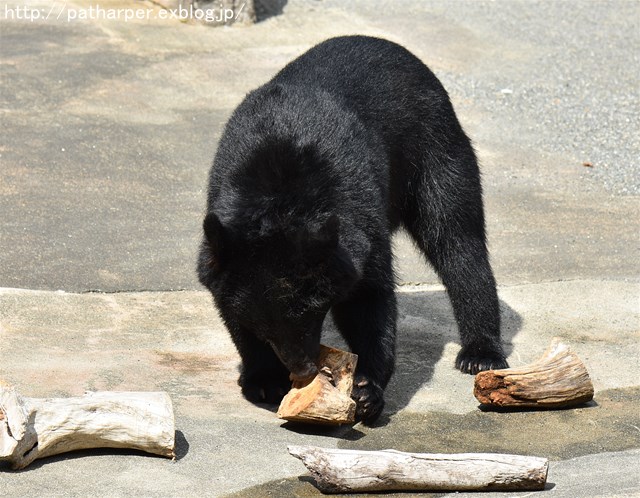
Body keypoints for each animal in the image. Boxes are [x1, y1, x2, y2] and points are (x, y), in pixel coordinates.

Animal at [198, 36, 508, 424]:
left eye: (308, 313)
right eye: (265, 323)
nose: (302, 369)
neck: (281, 194)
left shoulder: (358, 213)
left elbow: (369, 295)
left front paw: (366, 389)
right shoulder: (224, 237)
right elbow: (231, 306)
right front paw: (265, 379)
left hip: (436, 149)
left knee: (456, 238)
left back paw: (480, 353)